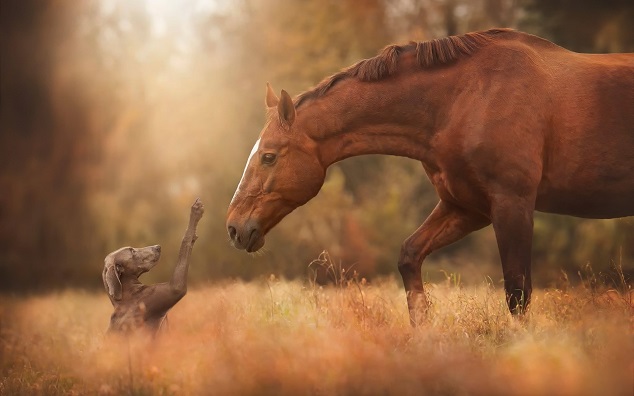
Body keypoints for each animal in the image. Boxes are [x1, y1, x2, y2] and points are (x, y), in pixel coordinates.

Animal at [102, 198, 204, 334]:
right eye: (132, 251)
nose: (158, 247)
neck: (126, 294)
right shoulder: (173, 289)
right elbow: (185, 240)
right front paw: (196, 211)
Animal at [225, 28, 628, 324]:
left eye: (268, 156)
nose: (234, 228)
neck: (467, 96)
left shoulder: (511, 205)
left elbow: (517, 294)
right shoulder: (467, 208)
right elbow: (409, 257)